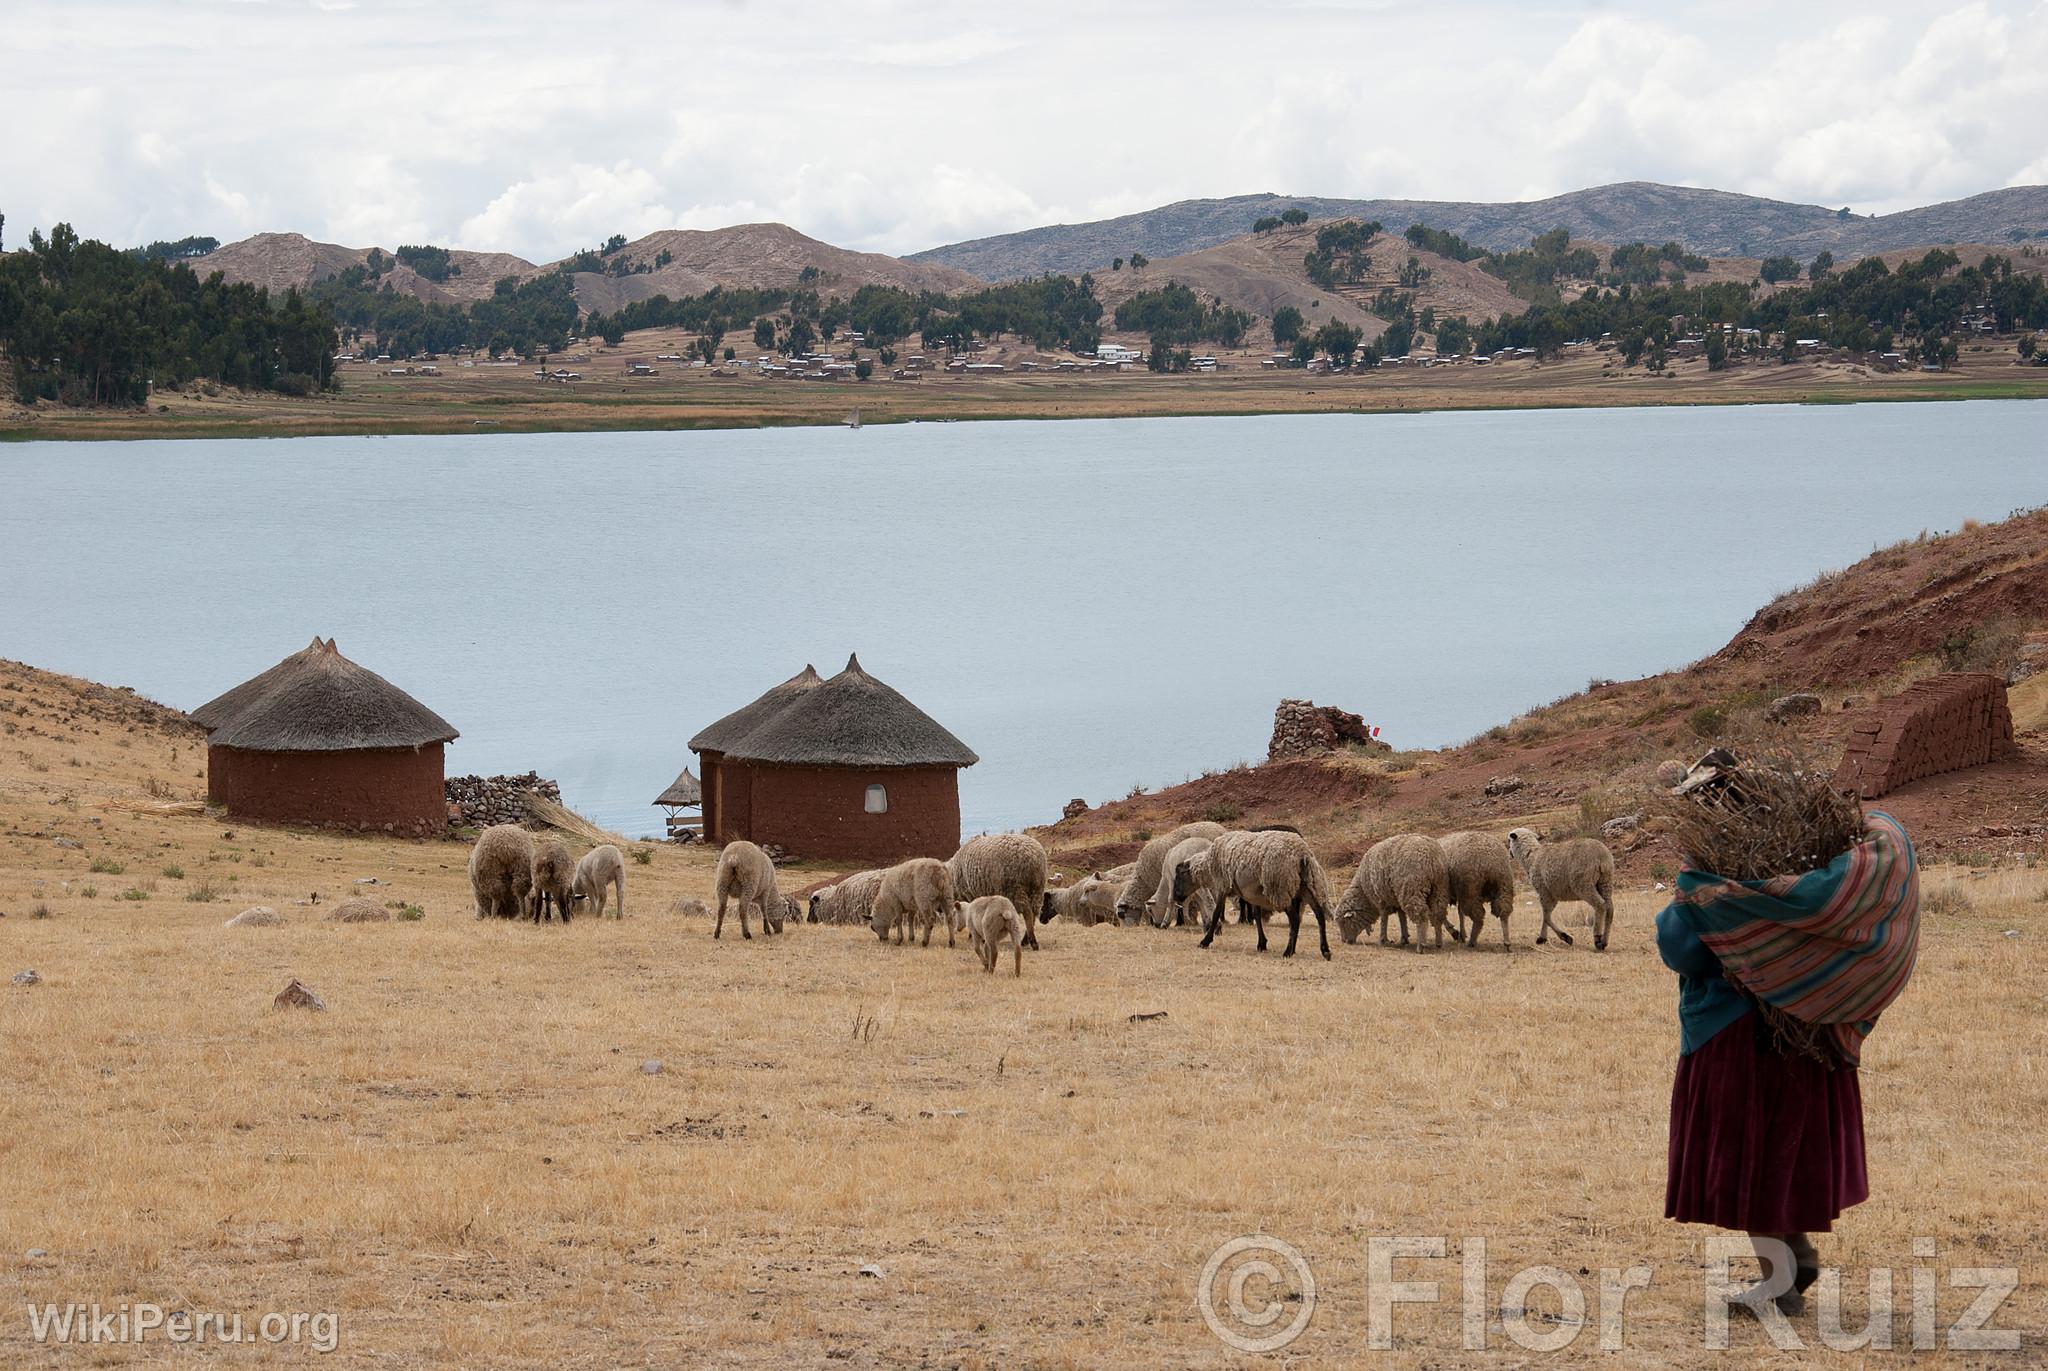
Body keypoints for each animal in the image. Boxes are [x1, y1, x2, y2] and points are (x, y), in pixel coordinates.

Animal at [1196, 827, 1335, 959]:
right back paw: (1325, 950)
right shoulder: (1253, 894)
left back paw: (1288, 952)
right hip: (1305, 885)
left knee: (1295, 919)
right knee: (1319, 914)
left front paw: (1205, 941)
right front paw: (1261, 943)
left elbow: (1216, 913)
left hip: (1280, 888)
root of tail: (1302, 853)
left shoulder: (1223, 884)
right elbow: (1256, 915)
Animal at [1327, 836, 1458, 950]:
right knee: (1438, 913)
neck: (1364, 894)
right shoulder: (1396, 898)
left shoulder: (1381, 900)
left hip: (1411, 890)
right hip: (1439, 888)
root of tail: (1432, 858)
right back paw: (1439, 942)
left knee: (1421, 915)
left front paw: (1382, 940)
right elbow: (1402, 917)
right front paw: (1404, 938)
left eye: (1344, 922)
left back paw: (1421, 946)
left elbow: (1384, 919)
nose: (1344, 941)